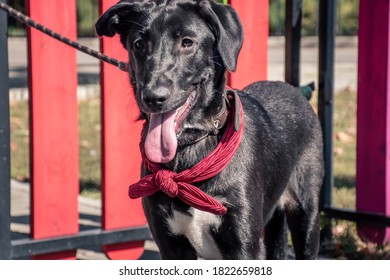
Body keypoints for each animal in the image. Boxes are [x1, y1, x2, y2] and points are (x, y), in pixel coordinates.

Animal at [96, 0, 324, 260]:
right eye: (139, 44)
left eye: (187, 42)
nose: (153, 97)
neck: (190, 152)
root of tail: (295, 89)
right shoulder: (171, 246)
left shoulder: (245, 246)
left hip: (306, 214)